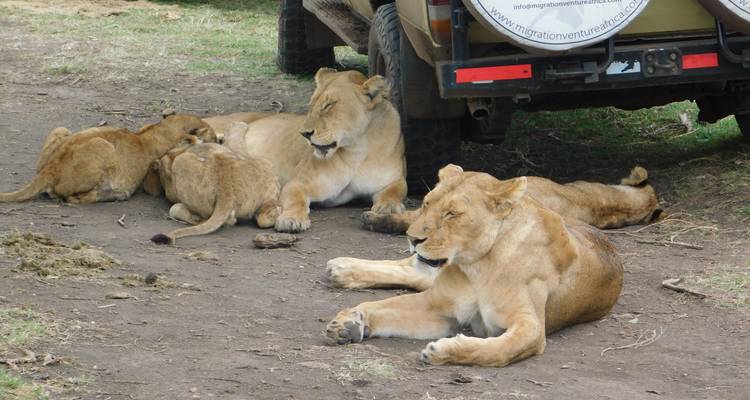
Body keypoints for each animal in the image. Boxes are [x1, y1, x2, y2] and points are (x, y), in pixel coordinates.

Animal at [0, 114, 215, 204]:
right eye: (214, 138)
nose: (220, 140)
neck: (158, 131)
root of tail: (50, 169)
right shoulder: (152, 183)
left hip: (62, 129)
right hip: (103, 146)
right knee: (71, 198)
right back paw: (115, 194)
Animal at [222, 68, 407, 233]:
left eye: (328, 105)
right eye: (311, 106)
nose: (304, 133)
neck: (358, 148)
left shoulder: (394, 180)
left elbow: (395, 191)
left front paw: (388, 207)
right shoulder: (298, 183)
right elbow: (296, 200)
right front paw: (291, 219)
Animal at [325, 165, 624, 367]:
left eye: (452, 213)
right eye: (426, 203)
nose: (413, 238)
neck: (477, 267)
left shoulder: (530, 325)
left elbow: (499, 350)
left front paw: (444, 351)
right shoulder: (436, 305)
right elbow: (382, 306)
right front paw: (349, 321)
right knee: (412, 269)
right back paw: (341, 268)